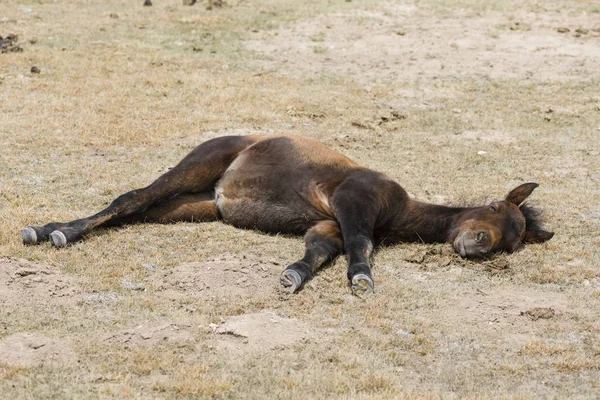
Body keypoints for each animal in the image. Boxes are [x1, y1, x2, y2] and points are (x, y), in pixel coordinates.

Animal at [23, 134, 556, 296]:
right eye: (494, 207)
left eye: (512, 241)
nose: (478, 243)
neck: (398, 209)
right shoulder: (353, 202)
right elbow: (360, 244)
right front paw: (361, 278)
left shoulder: (327, 224)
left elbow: (318, 251)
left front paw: (292, 276)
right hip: (196, 165)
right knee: (129, 199)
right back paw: (55, 233)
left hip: (192, 205)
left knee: (136, 211)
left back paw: (51, 230)